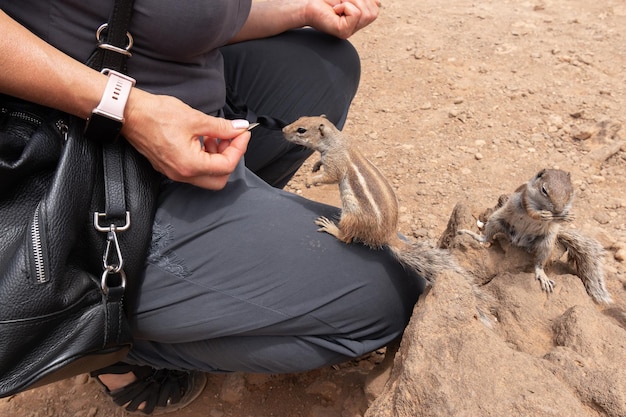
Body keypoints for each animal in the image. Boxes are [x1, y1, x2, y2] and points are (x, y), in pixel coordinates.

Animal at [280, 114, 460, 284]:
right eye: (300, 118)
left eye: (301, 130)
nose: (283, 130)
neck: (336, 141)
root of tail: (388, 236)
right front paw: (316, 165)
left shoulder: (335, 162)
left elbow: (331, 177)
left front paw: (310, 180)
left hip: (351, 218)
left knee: (346, 238)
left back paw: (331, 227)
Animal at [454, 168, 608, 302]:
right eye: (544, 190)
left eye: (570, 193)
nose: (558, 210)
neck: (543, 206)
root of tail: (518, 240)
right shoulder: (525, 198)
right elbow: (531, 212)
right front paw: (542, 215)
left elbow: (560, 218)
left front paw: (568, 216)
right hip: (496, 220)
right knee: (487, 236)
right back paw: (475, 236)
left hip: (547, 242)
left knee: (539, 263)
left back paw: (543, 276)